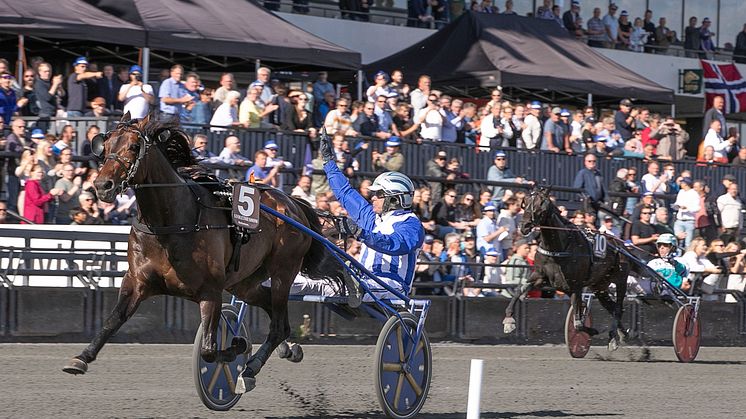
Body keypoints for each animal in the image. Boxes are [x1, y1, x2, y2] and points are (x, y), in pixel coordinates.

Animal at [62, 113, 344, 388]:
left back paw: (251, 367)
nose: (102, 185)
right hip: (244, 281)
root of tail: (294, 204)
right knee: (275, 315)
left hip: (283, 271)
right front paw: (81, 358)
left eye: (133, 146)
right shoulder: (137, 282)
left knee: (276, 324)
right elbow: (113, 319)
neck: (172, 221)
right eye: (105, 145)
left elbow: (209, 349)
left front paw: (236, 347)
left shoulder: (210, 291)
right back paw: (287, 349)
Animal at [502, 189, 632, 350]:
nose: (524, 226)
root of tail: (620, 244)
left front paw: (591, 331)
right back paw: (620, 335)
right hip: (600, 286)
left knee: (618, 307)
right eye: (524, 202)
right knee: (613, 308)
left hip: (620, 279)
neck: (559, 247)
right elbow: (519, 290)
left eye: (541, 206)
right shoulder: (540, 277)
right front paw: (509, 320)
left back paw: (614, 336)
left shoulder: (576, 286)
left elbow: (578, 324)